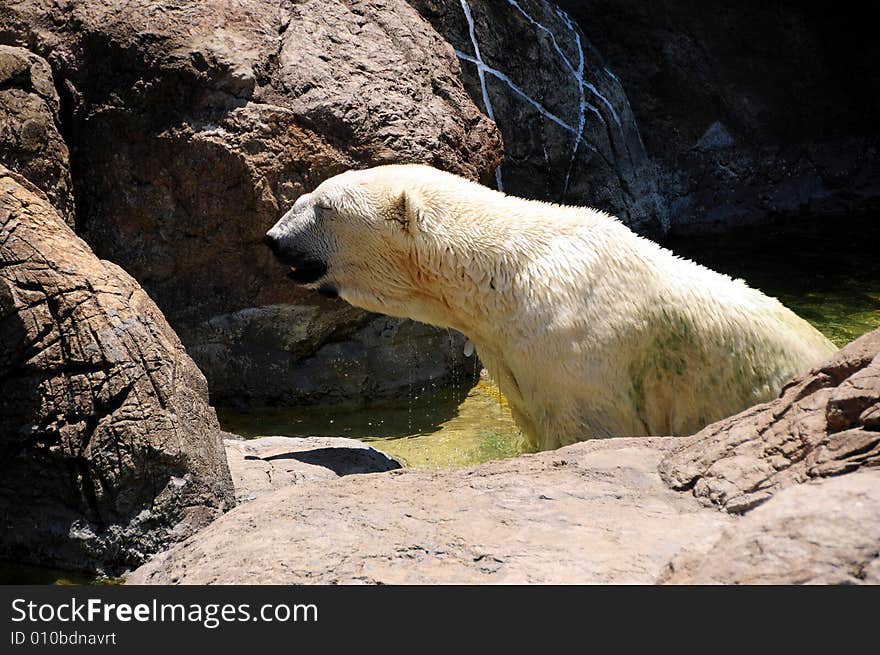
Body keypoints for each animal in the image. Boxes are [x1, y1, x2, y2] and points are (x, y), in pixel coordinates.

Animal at [262, 165, 840, 452]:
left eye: (322, 206)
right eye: (310, 193)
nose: (273, 239)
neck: (506, 276)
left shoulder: (579, 354)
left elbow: (583, 430)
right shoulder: (511, 357)